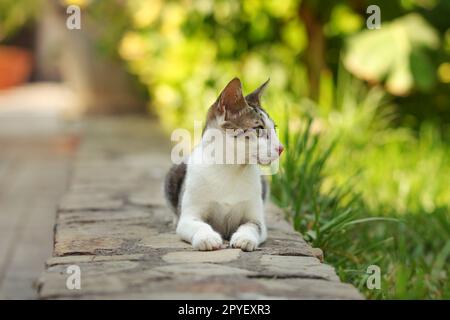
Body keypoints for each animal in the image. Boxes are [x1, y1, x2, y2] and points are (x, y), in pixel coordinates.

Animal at [165, 76, 284, 251]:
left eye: (275, 128)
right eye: (258, 129)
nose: (281, 148)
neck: (231, 168)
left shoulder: (256, 218)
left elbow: (252, 226)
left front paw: (244, 238)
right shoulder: (189, 216)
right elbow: (198, 224)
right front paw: (207, 237)